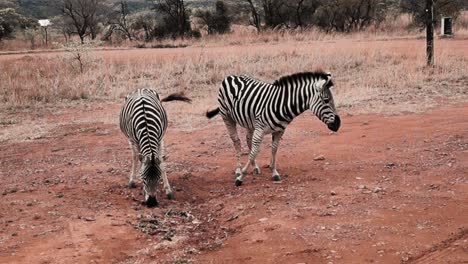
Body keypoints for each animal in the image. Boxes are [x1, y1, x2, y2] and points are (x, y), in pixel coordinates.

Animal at [207, 70, 342, 186]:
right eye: (326, 100)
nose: (338, 124)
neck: (282, 105)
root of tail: (230, 76)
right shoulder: (260, 129)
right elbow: (254, 152)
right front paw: (241, 178)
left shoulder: (279, 131)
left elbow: (274, 149)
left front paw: (274, 172)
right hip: (227, 116)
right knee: (237, 142)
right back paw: (239, 170)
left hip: (250, 122)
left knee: (248, 140)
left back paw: (255, 167)